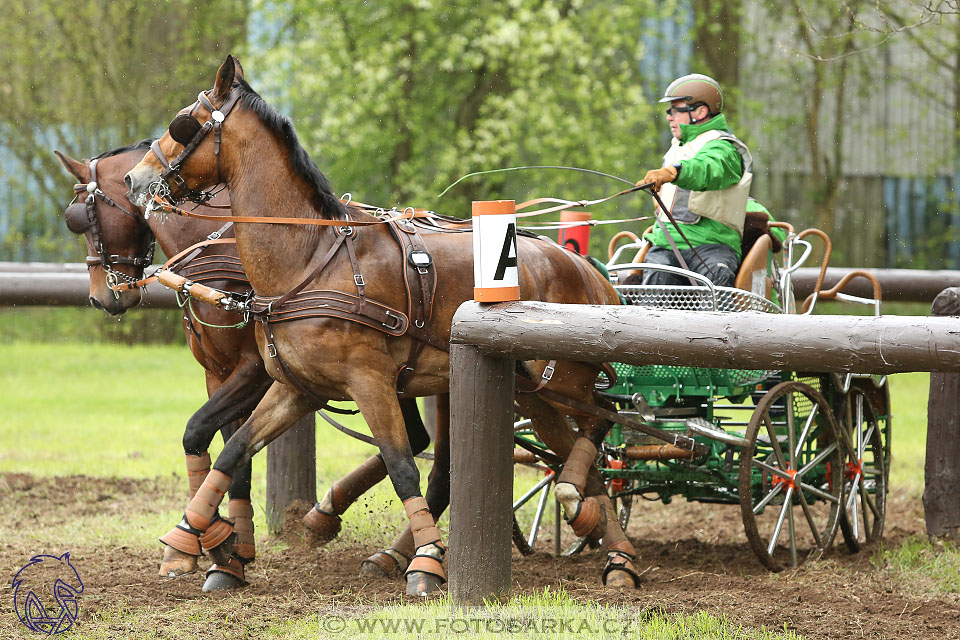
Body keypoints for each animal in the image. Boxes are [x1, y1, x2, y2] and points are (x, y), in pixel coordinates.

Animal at [58, 144, 434, 592]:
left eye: (82, 217)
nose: (102, 297)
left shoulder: (254, 371)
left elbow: (200, 431)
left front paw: (212, 541)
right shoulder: (217, 372)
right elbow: (232, 451)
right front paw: (228, 551)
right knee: (418, 439)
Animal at [125, 55, 636, 596]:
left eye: (184, 123)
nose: (136, 180)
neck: (310, 260)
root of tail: (585, 269)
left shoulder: (369, 382)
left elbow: (401, 466)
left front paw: (428, 561)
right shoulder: (296, 388)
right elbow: (235, 451)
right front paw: (187, 536)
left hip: (563, 380)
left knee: (601, 420)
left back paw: (585, 517)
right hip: (533, 395)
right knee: (586, 461)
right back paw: (615, 551)